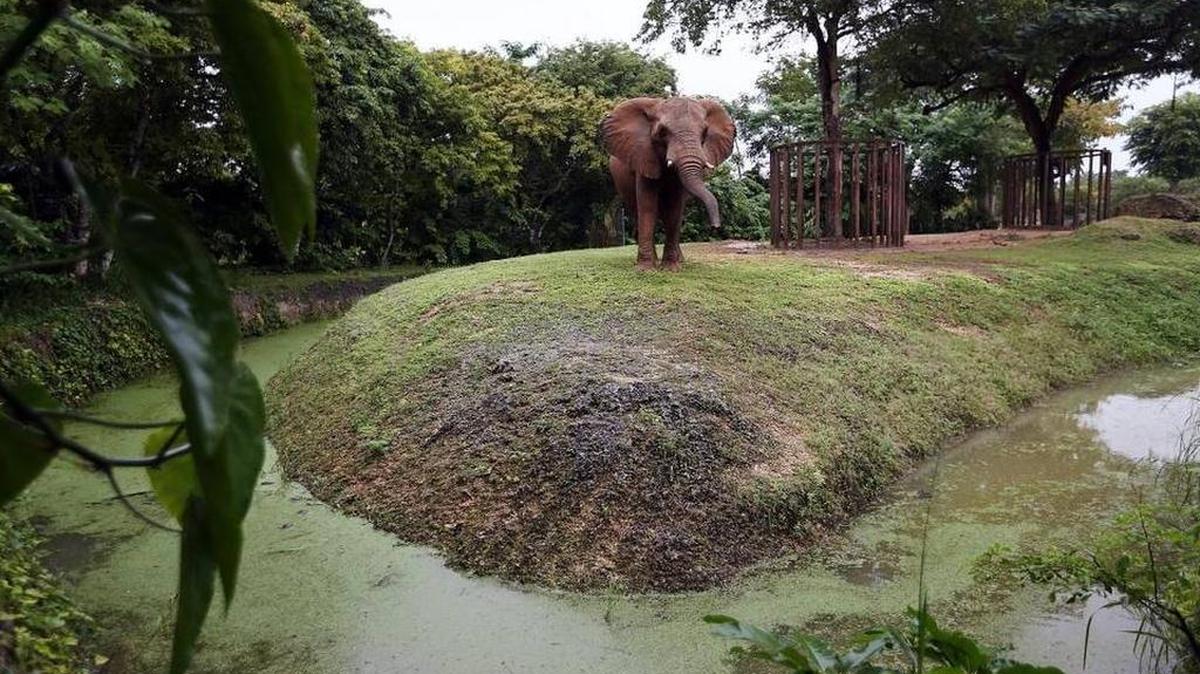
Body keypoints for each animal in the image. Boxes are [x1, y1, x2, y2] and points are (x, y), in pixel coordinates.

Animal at [602, 97, 736, 270]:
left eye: (705, 133)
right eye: (662, 132)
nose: (715, 226)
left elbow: (674, 208)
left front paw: (671, 269)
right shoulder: (644, 157)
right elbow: (647, 207)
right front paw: (645, 270)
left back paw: (680, 261)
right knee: (638, 212)